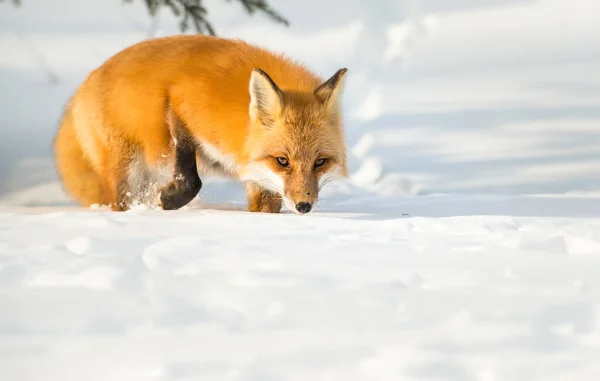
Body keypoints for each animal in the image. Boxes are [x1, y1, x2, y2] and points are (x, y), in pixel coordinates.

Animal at [55, 35, 350, 214]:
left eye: (320, 162)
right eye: (282, 161)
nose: (304, 206)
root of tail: (84, 85)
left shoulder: (260, 178)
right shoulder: (179, 105)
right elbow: (191, 178)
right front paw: (169, 201)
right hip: (126, 170)